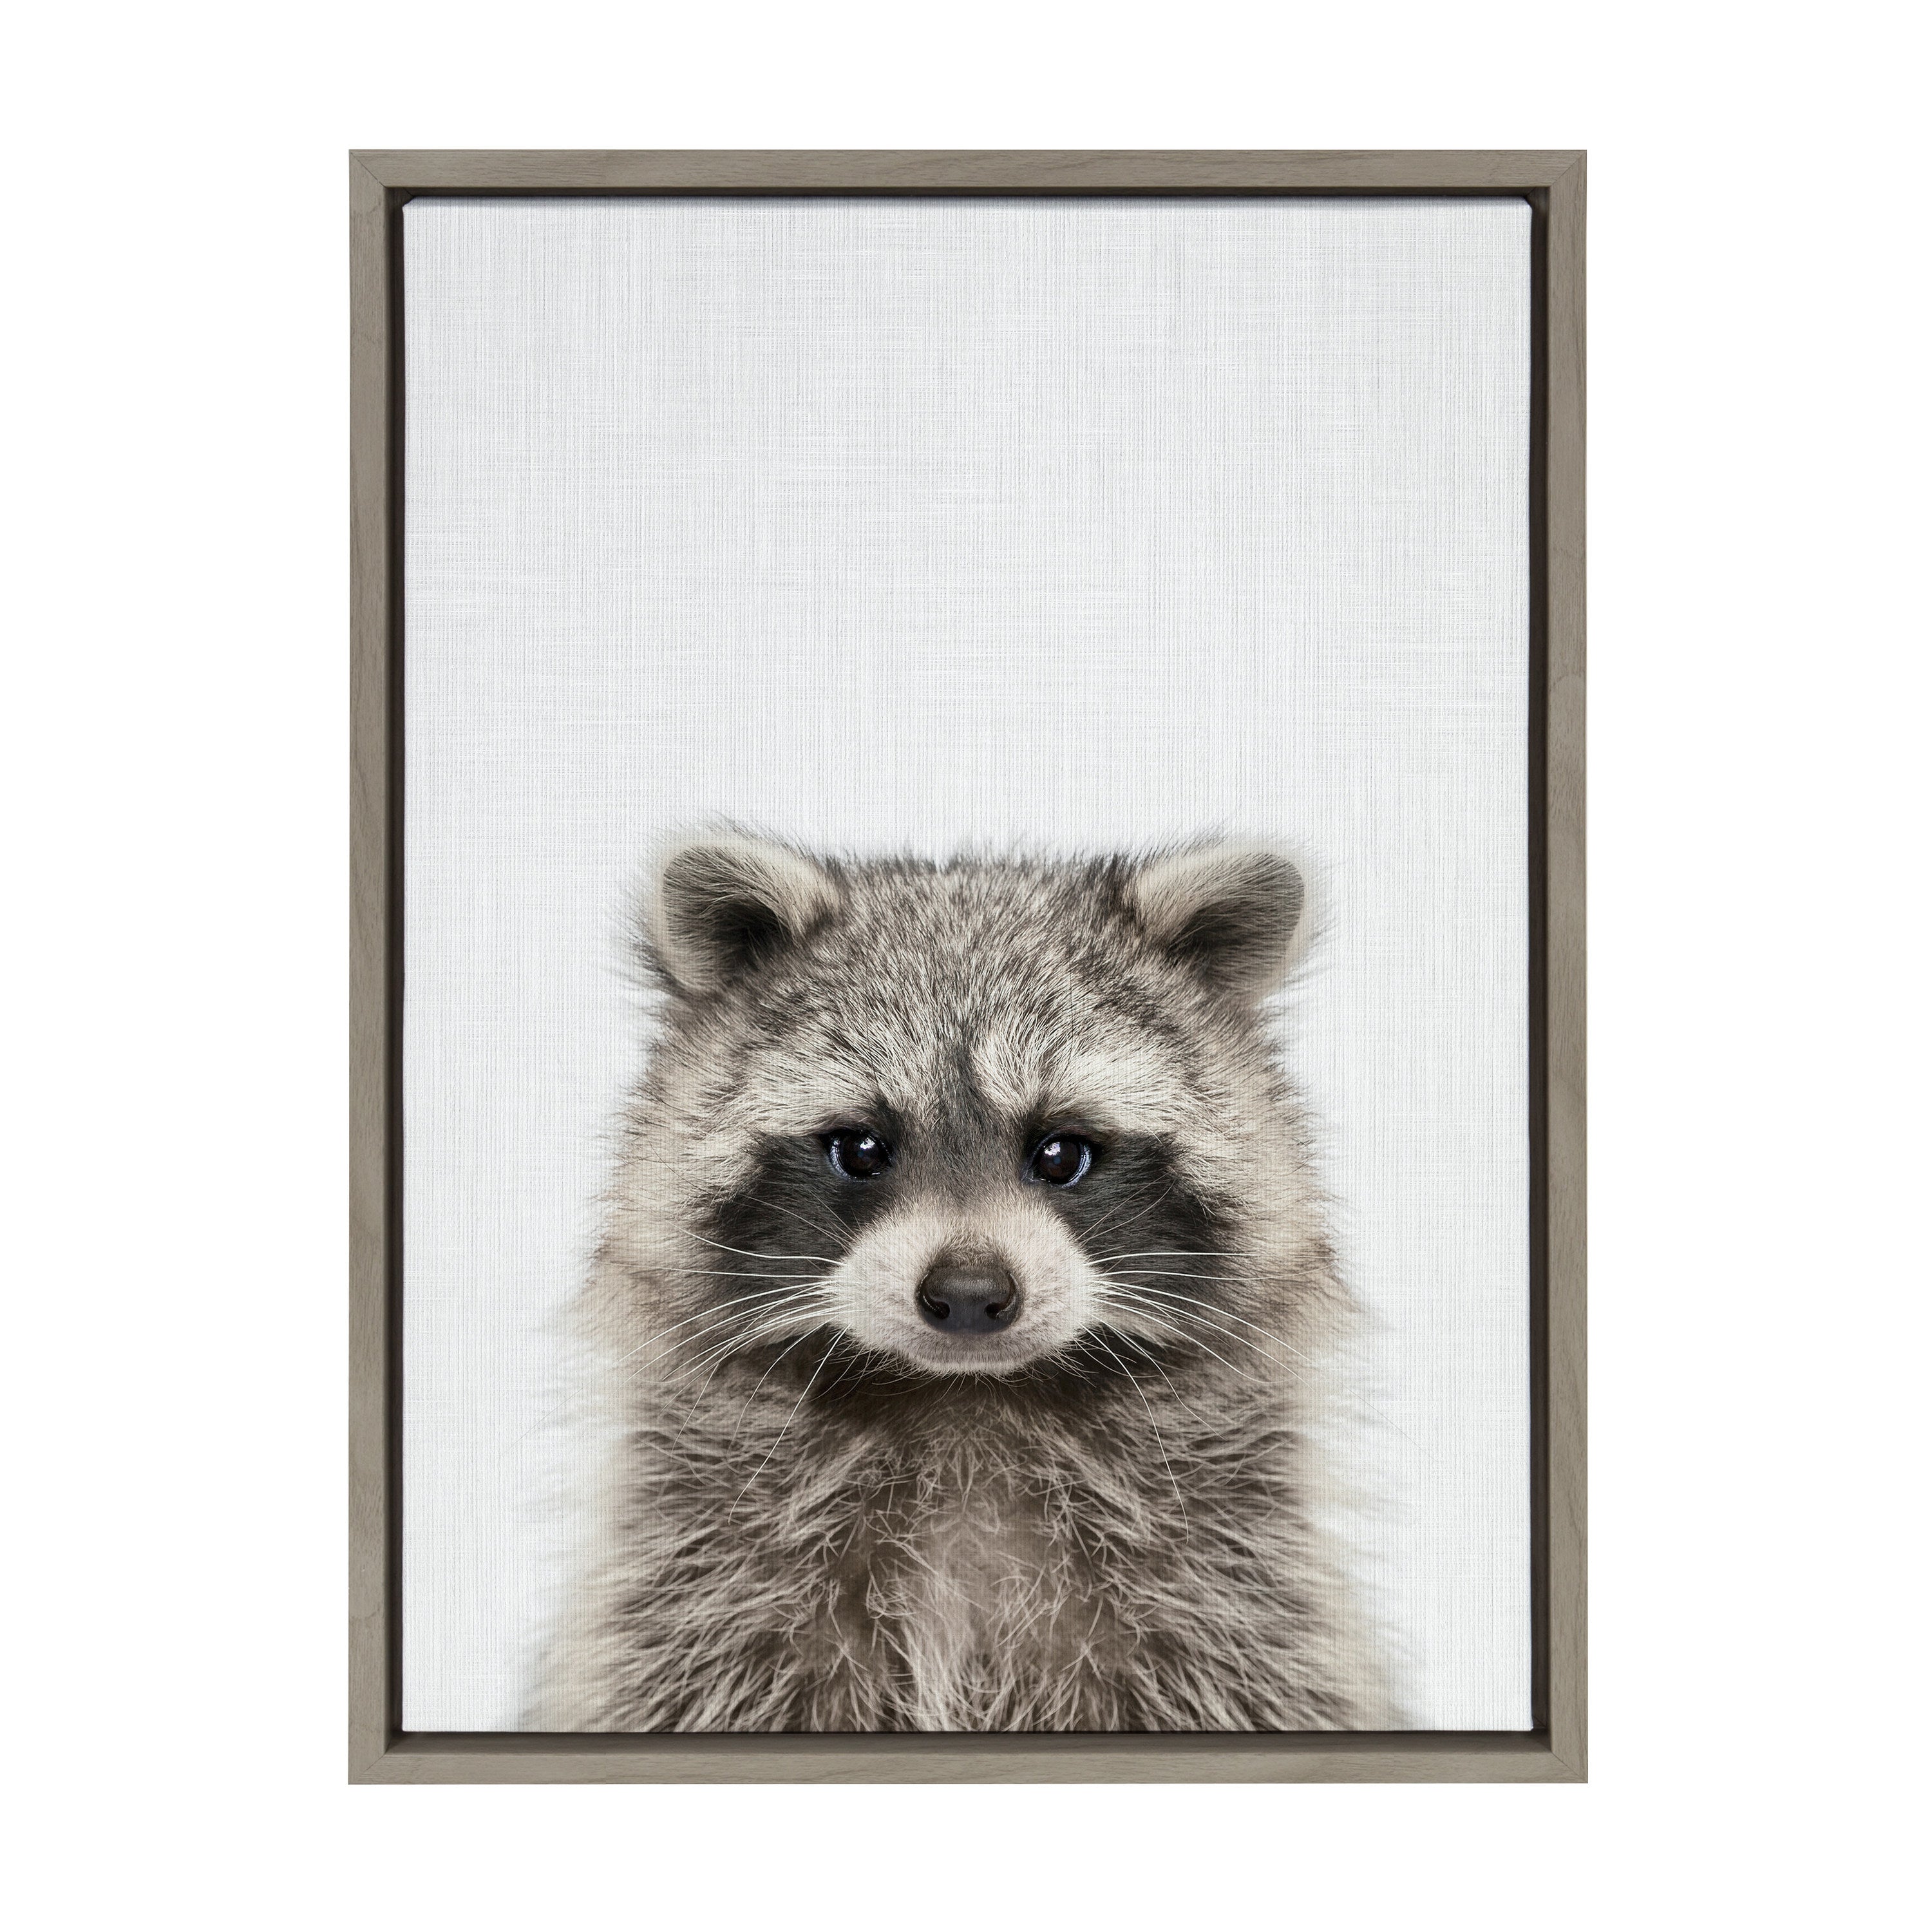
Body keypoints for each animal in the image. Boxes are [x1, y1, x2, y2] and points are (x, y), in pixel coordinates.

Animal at [538, 832, 1388, 1732]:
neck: (964, 1401)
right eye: (861, 1148)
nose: (972, 1295)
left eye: (1062, 1152)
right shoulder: (699, 1593)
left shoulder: (1230, 1597)